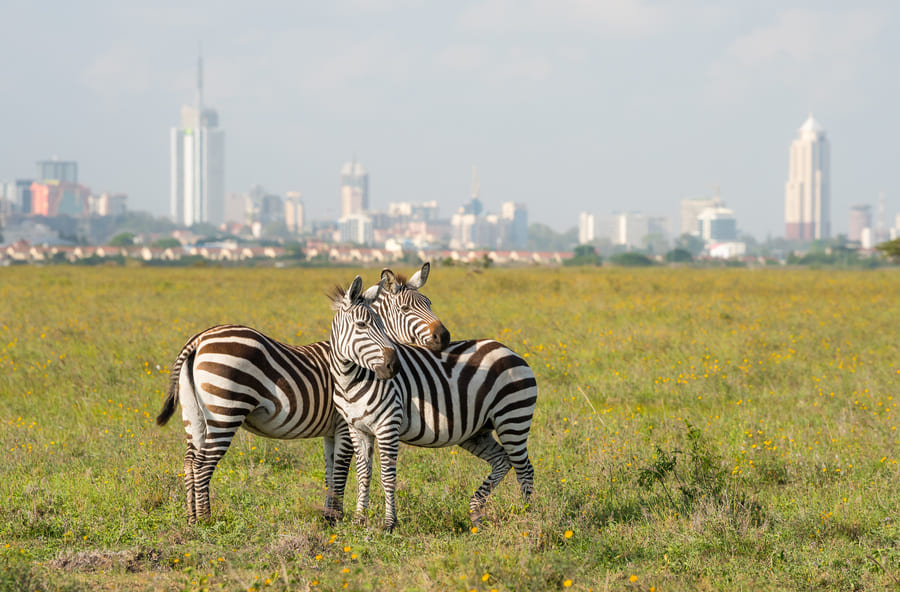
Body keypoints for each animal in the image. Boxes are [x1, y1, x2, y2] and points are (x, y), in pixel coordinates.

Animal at [155, 267, 449, 524]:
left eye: (430, 303)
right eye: (406, 309)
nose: (444, 337)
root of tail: (199, 339)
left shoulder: (331, 431)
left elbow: (330, 472)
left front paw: (329, 517)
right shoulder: (344, 425)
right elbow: (341, 471)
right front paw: (336, 518)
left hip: (194, 415)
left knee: (189, 462)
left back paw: (192, 518)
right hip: (225, 412)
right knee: (203, 464)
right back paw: (206, 520)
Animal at [329, 278, 538, 532]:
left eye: (381, 325)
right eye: (361, 325)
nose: (393, 366)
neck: (350, 380)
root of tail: (510, 351)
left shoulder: (388, 426)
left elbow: (387, 476)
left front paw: (389, 524)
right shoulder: (357, 428)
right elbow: (363, 474)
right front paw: (359, 520)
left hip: (513, 418)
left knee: (524, 469)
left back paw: (528, 517)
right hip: (477, 432)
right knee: (502, 460)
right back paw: (476, 512)